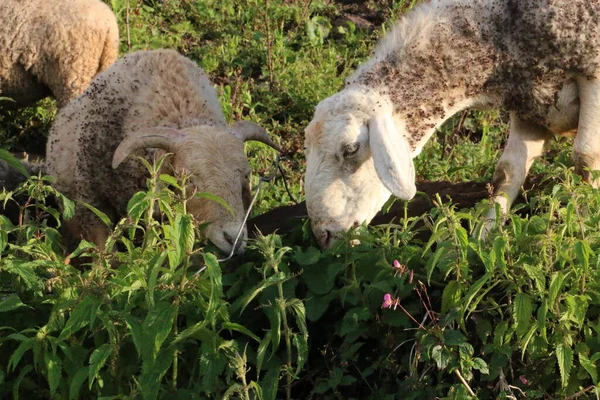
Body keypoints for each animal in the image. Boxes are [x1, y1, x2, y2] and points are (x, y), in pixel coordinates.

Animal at [304, 0, 600, 248]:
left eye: (351, 149)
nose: (323, 235)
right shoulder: (530, 106)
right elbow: (507, 172)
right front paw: (484, 239)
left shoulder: (592, 75)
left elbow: (585, 158)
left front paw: (586, 228)